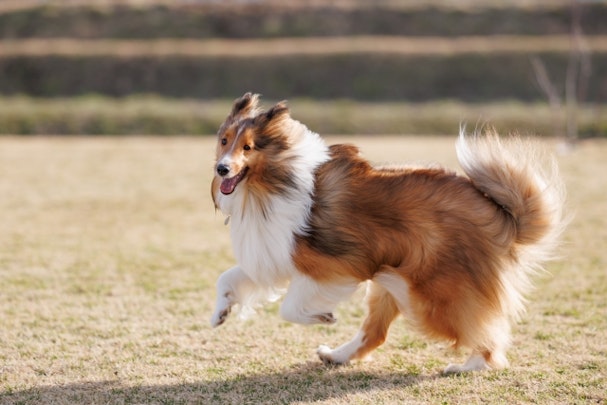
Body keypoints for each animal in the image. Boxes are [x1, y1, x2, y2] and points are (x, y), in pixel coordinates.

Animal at [211, 92, 568, 372]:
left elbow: (289, 307)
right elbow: (228, 277)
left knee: (484, 332)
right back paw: (336, 356)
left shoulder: (333, 268)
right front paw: (219, 314)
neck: (271, 184)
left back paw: (470, 365)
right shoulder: (271, 255)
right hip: (390, 282)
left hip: (427, 294)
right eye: (224, 141)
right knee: (375, 333)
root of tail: (499, 214)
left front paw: (323, 316)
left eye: (248, 147)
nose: (221, 168)